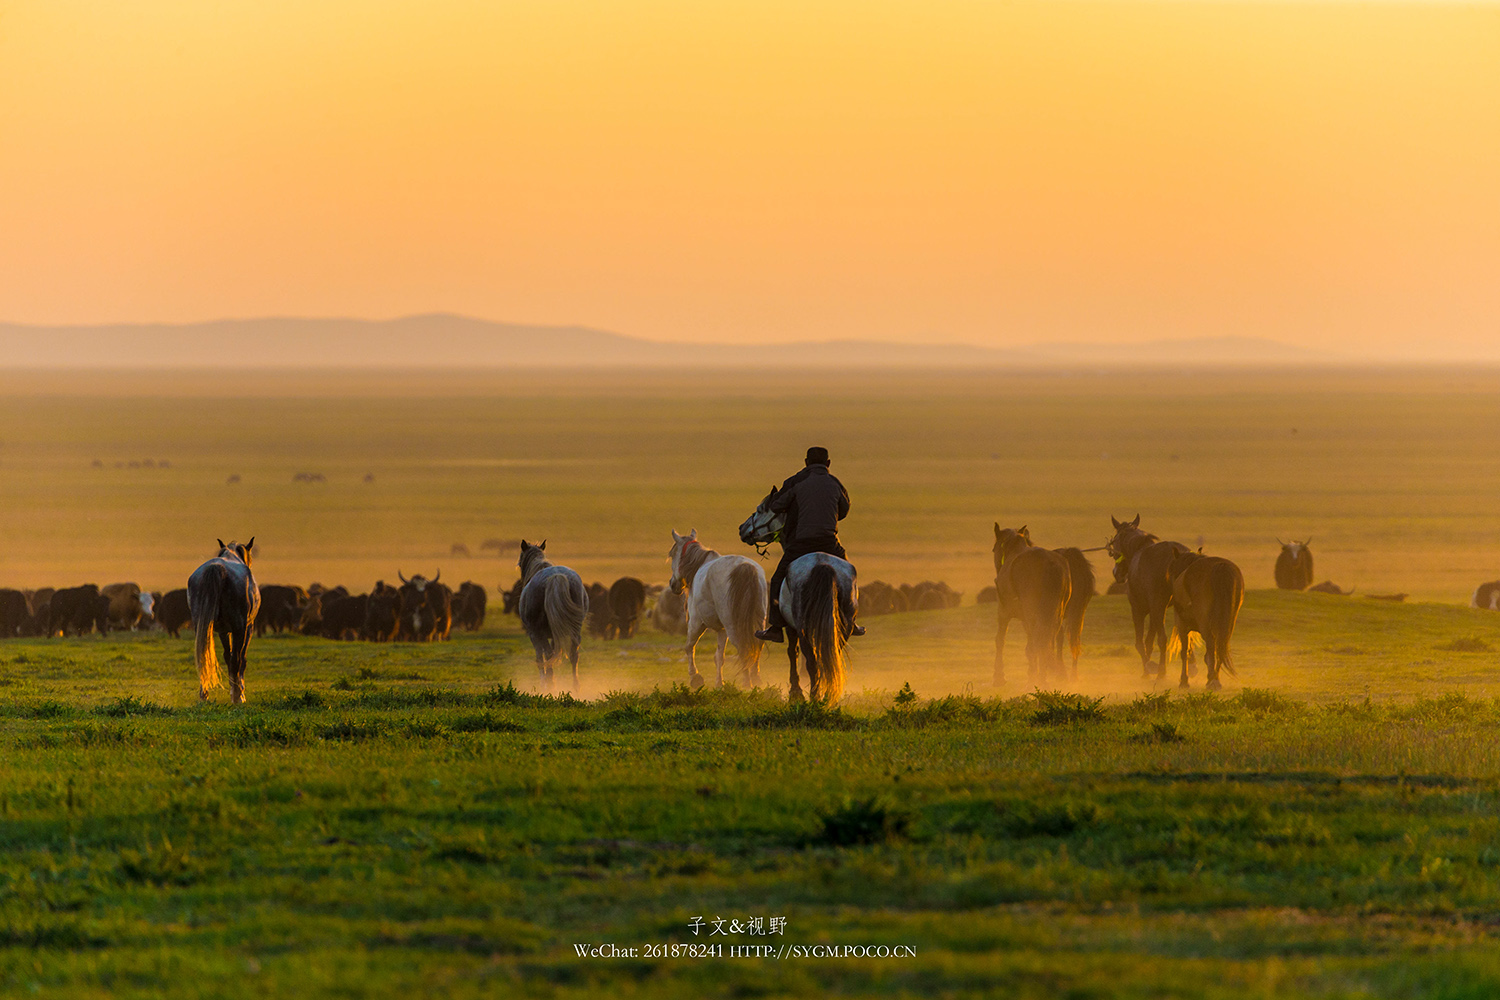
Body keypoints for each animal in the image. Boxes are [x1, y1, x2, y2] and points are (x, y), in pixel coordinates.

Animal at [187, 539, 261, 704]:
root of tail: (216, 568)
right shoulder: (248, 628)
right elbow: (240, 659)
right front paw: (239, 691)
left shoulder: (222, 631)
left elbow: (227, 656)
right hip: (240, 628)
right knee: (236, 659)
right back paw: (237, 696)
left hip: (201, 626)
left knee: (203, 658)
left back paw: (204, 695)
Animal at [669, 530, 768, 689]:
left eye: (672, 554)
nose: (672, 584)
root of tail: (744, 566)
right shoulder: (722, 630)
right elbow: (719, 657)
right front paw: (719, 683)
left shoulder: (696, 623)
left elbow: (689, 647)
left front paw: (695, 678)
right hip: (757, 621)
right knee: (756, 645)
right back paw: (756, 680)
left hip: (732, 626)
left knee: (743, 648)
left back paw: (747, 683)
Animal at [1098, 515, 1188, 680]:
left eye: (1115, 542)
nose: (1116, 573)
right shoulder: (1154, 610)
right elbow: (1149, 641)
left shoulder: (1139, 609)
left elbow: (1140, 642)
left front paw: (1149, 669)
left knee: (1163, 639)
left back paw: (1161, 673)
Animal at [1164, 551, 1248, 692]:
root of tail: (1220, 566)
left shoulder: (1182, 627)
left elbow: (1184, 652)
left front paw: (1184, 681)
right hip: (1228, 623)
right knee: (1220, 647)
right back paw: (1215, 679)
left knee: (1211, 646)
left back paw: (1212, 681)